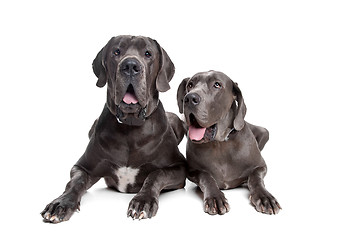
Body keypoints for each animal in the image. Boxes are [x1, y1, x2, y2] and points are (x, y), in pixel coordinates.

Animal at [41, 35, 186, 223]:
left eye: (148, 53)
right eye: (116, 52)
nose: (130, 65)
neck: (130, 128)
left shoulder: (179, 168)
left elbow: (156, 175)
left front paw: (142, 201)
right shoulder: (83, 166)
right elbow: (75, 183)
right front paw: (61, 203)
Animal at [177, 70, 282, 215]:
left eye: (217, 85)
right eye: (190, 85)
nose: (189, 98)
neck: (220, 143)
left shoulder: (261, 166)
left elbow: (255, 177)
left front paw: (264, 197)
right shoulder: (192, 171)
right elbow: (206, 176)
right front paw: (215, 197)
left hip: (264, 131)